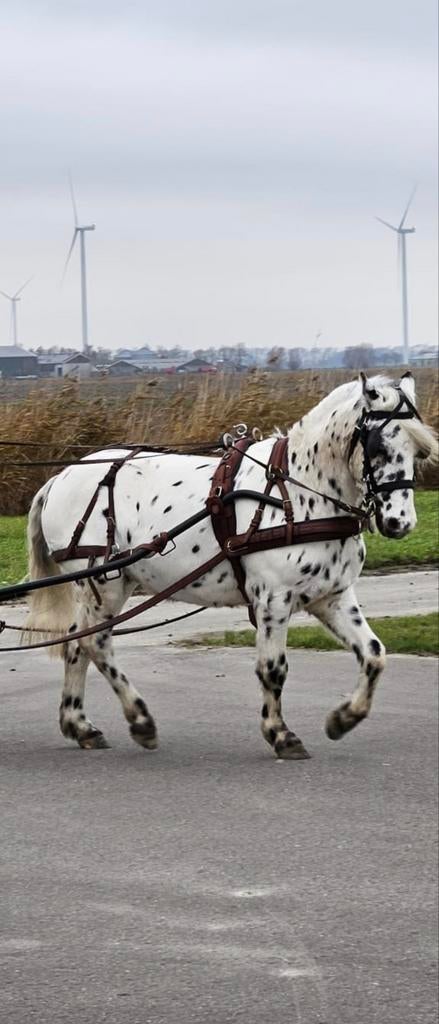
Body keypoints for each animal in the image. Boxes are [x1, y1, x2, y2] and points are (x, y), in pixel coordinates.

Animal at [25, 372, 437, 757]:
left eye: (418, 452)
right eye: (379, 447)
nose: (400, 522)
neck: (298, 490)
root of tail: (61, 476)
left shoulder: (332, 596)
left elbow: (374, 654)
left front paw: (344, 718)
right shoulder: (273, 598)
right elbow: (273, 669)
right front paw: (280, 734)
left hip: (109, 584)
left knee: (76, 643)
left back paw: (79, 725)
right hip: (101, 583)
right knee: (94, 642)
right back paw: (139, 719)